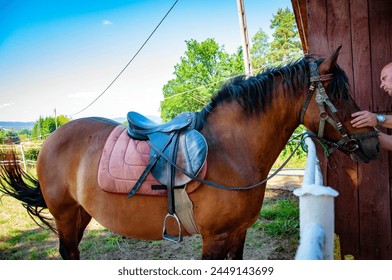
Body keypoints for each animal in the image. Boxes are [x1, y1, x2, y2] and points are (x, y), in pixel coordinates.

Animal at [0, 47, 380, 260]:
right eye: (341, 94)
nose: (374, 143)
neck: (232, 151)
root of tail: (52, 138)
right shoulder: (214, 238)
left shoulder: (238, 233)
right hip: (64, 214)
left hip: (80, 214)